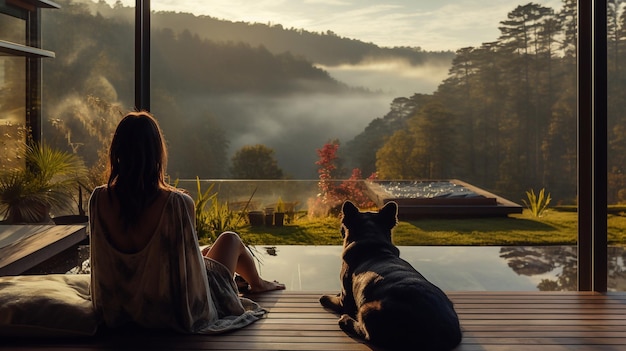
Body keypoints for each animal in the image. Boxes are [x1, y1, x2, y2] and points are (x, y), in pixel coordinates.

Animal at [320, 202, 460, 350]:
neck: (373, 245)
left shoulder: (344, 301)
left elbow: (327, 299)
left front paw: (327, 298)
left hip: (367, 309)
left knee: (366, 334)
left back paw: (345, 321)